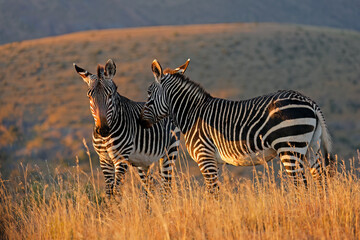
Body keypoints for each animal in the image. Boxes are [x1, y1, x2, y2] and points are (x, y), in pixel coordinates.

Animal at [74, 59, 180, 197]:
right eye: (89, 96)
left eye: (110, 95)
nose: (103, 130)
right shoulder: (104, 160)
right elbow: (109, 193)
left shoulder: (121, 159)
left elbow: (116, 192)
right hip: (143, 162)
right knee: (150, 188)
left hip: (170, 152)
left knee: (166, 187)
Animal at [140, 59, 334, 193]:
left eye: (148, 93)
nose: (141, 122)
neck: (191, 114)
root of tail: (309, 101)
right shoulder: (213, 161)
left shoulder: (205, 157)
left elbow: (213, 194)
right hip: (311, 147)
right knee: (320, 180)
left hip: (289, 147)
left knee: (300, 184)